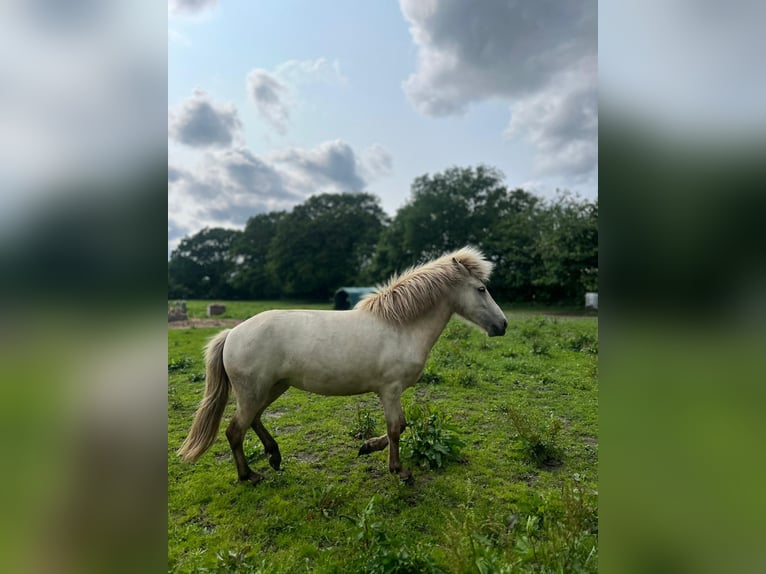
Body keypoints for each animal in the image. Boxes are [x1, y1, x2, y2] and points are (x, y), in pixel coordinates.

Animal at [177, 246, 508, 484]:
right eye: (481, 289)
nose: (502, 325)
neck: (400, 326)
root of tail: (232, 333)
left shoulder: (389, 392)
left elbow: (396, 428)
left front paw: (367, 447)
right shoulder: (391, 390)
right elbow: (396, 428)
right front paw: (400, 471)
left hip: (273, 387)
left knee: (254, 420)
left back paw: (274, 456)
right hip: (254, 392)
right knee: (235, 431)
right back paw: (249, 475)